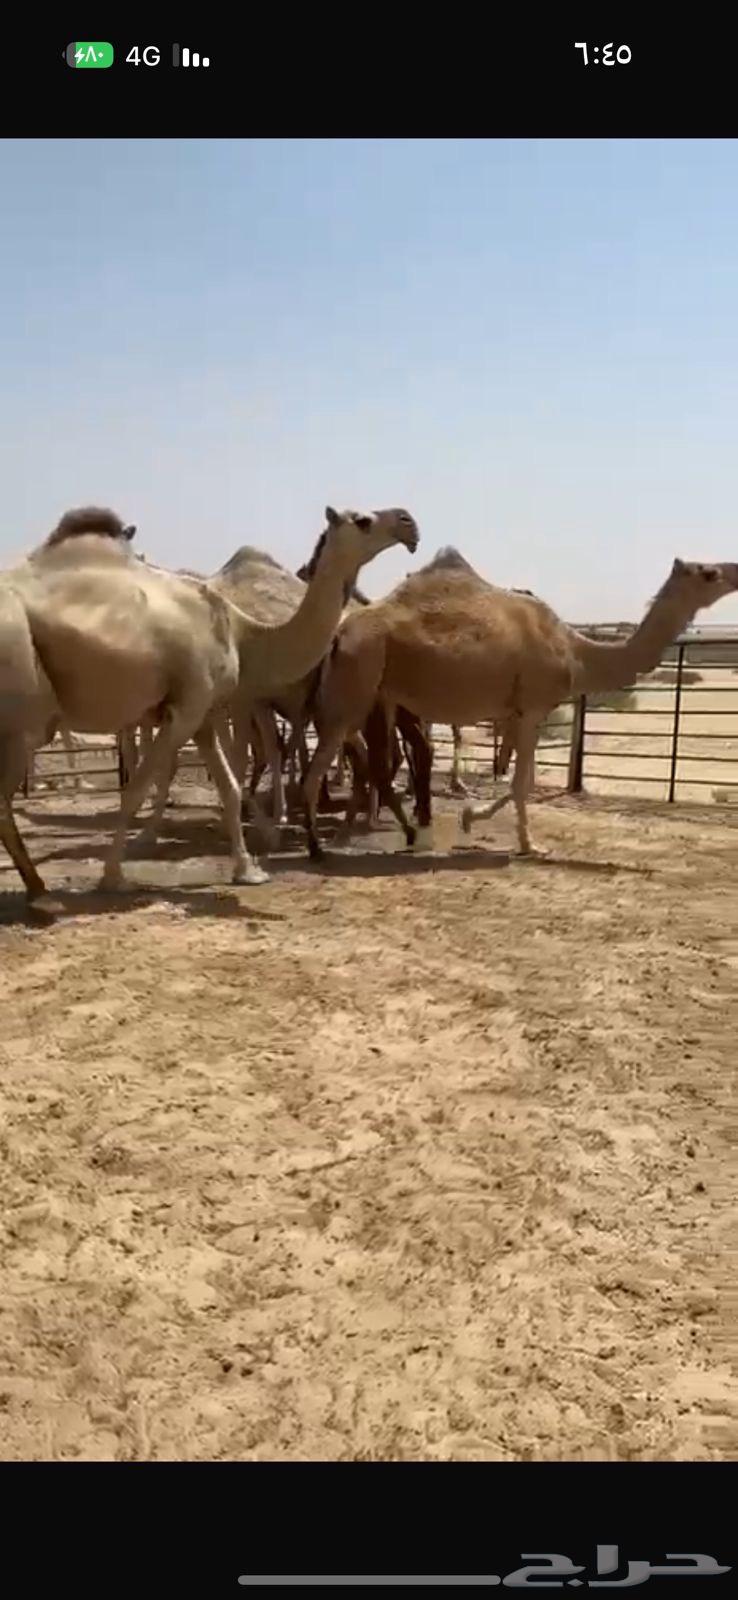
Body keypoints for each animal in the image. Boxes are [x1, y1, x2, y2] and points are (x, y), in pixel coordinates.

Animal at [0, 503, 418, 907]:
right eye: (362, 520)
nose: (408, 524)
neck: (243, 632)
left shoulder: (202, 713)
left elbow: (228, 785)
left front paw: (249, 869)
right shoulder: (189, 705)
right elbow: (139, 787)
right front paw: (114, 876)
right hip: (23, 707)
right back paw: (41, 894)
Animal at [302, 553, 738, 860]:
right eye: (707, 573)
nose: (734, 569)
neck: (576, 652)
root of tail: (340, 632)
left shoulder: (519, 713)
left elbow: (517, 779)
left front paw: (470, 818)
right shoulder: (532, 708)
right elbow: (521, 783)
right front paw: (527, 844)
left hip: (380, 695)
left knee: (374, 760)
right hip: (356, 684)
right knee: (322, 765)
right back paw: (318, 847)